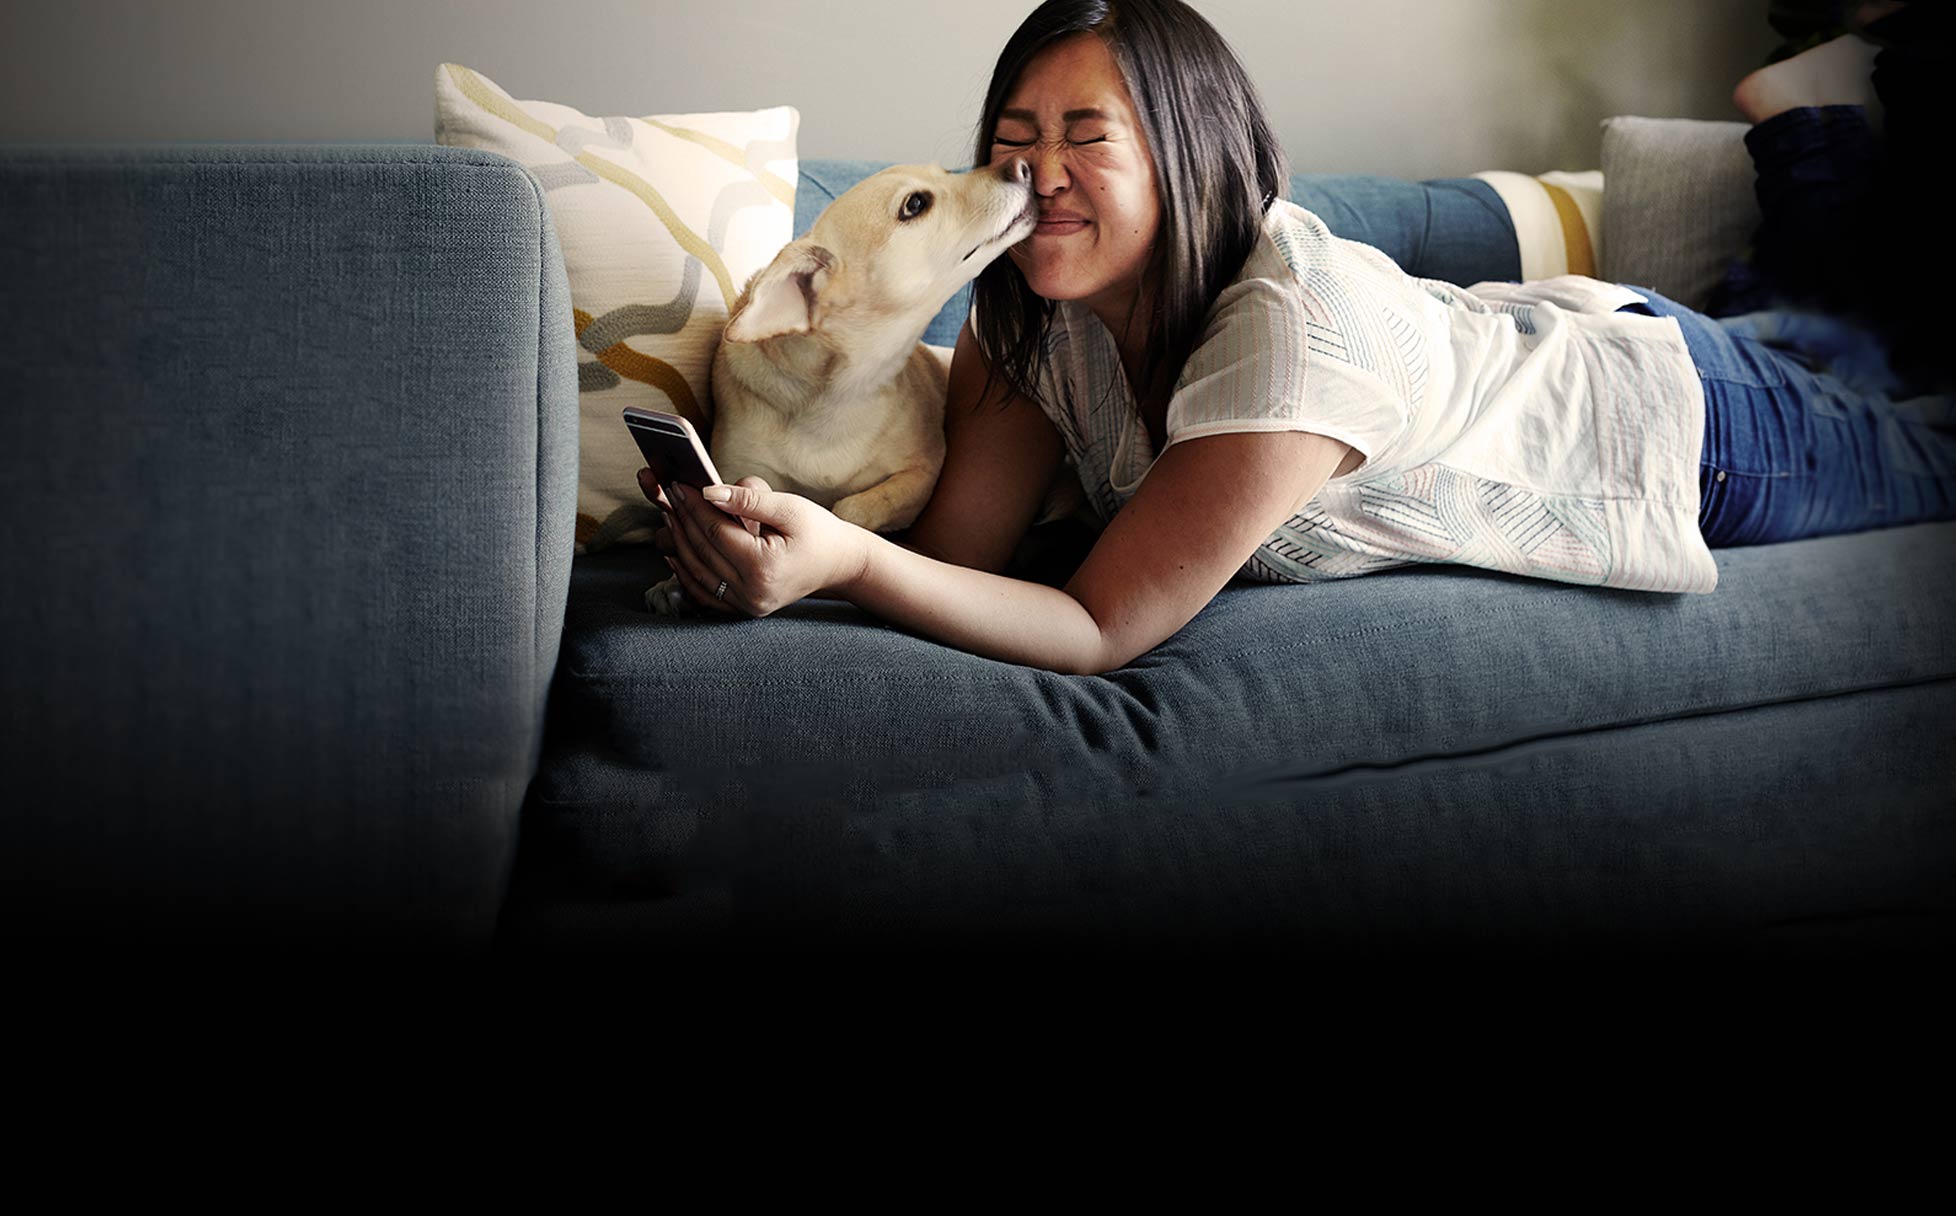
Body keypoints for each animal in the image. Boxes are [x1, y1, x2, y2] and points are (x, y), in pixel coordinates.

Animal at [641, 159, 1040, 617]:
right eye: (915, 204)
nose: (1022, 165)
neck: (844, 392)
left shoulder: (923, 471)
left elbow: (852, 506)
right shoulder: (733, 473)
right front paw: (673, 581)